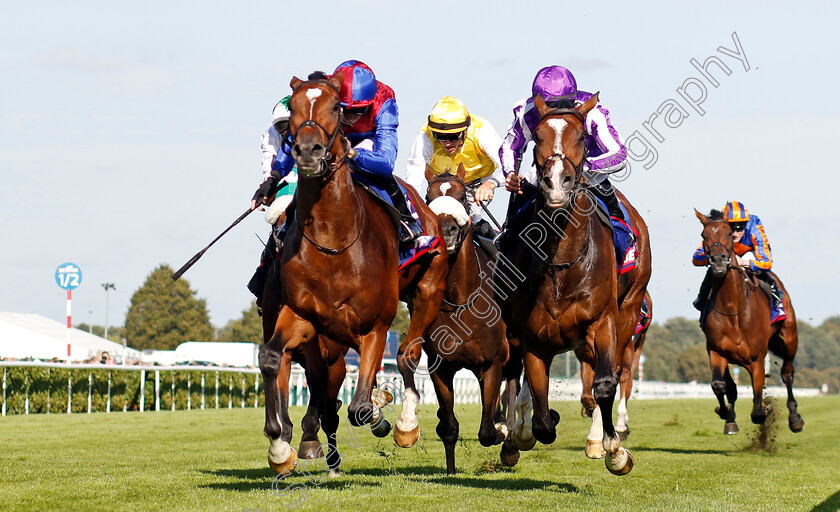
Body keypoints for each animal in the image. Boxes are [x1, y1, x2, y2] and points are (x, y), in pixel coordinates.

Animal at [420, 166, 524, 474]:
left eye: (461, 196)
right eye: (428, 197)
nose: (446, 231)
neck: (461, 297)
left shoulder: (492, 363)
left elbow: (487, 431)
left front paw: (503, 434)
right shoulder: (440, 367)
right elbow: (449, 426)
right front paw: (451, 471)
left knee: (512, 388)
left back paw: (511, 442)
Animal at [502, 93, 652, 476]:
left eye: (583, 137)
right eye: (538, 137)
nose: (557, 182)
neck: (561, 263)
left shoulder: (603, 321)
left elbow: (604, 384)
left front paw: (615, 451)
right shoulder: (531, 336)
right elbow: (539, 411)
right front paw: (524, 431)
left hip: (629, 312)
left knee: (612, 375)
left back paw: (600, 439)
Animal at [692, 208, 804, 436]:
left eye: (729, 232)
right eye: (703, 235)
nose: (718, 261)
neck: (733, 309)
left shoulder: (757, 358)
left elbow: (758, 405)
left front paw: (766, 410)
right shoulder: (716, 351)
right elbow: (720, 385)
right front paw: (726, 414)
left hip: (789, 339)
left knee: (787, 374)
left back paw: (795, 418)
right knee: (730, 387)